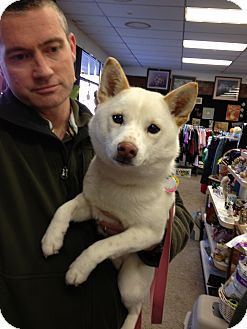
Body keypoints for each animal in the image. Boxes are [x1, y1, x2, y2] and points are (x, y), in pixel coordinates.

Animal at [41, 57, 198, 328]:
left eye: (153, 128)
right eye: (117, 118)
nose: (127, 149)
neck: (122, 183)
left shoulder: (148, 234)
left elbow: (103, 245)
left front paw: (79, 269)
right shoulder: (91, 207)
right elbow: (64, 209)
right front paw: (52, 238)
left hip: (129, 284)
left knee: (136, 308)